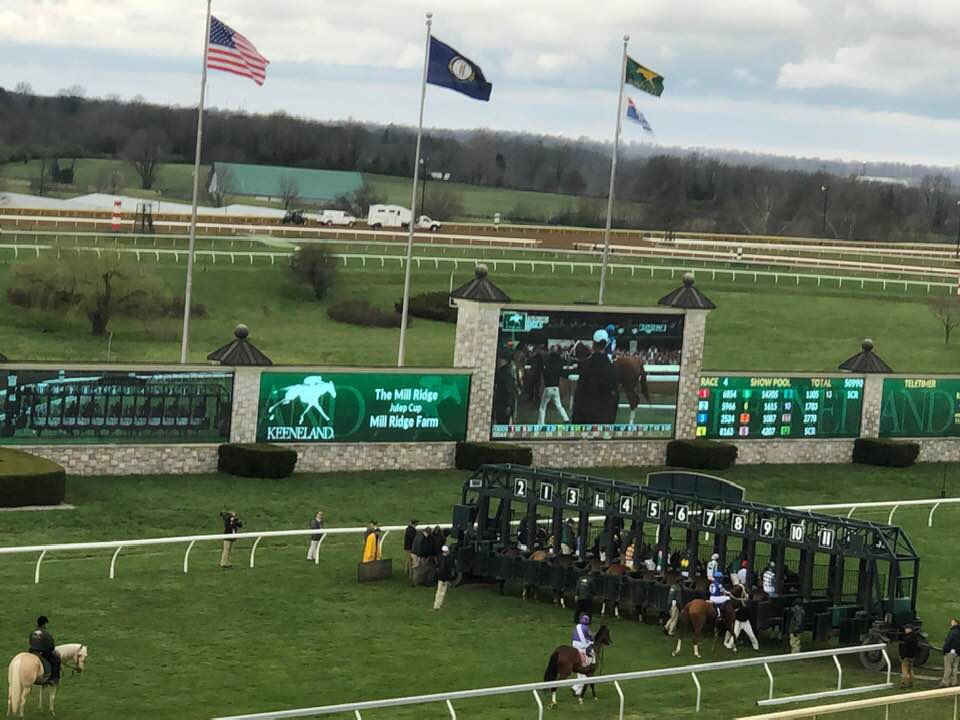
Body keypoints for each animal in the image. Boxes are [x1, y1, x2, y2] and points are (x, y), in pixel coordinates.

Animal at [492, 306, 688, 438]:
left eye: (571, 347)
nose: (567, 355)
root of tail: (637, 360)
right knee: (635, 401)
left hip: (628, 384)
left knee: (634, 401)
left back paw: (629, 425)